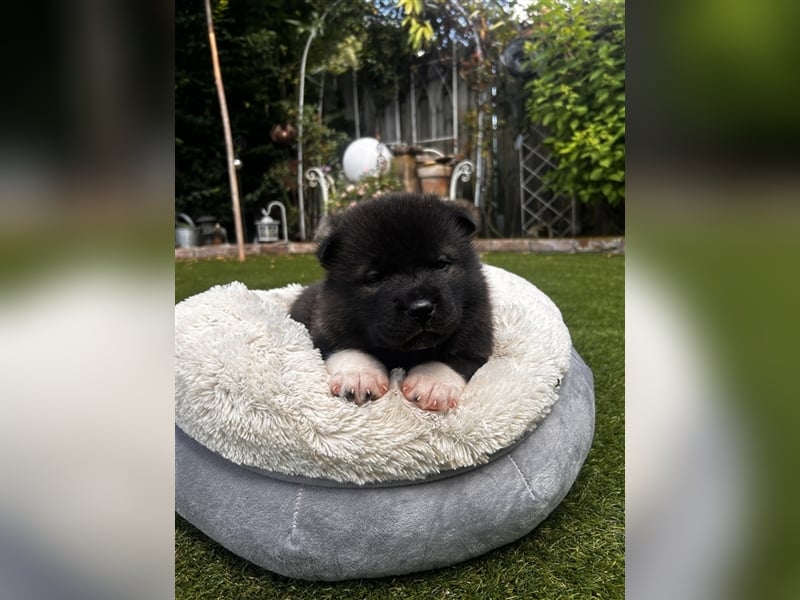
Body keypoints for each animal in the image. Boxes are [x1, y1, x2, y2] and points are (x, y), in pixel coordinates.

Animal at [290, 195, 490, 410]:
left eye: (441, 264)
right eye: (375, 278)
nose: (421, 309)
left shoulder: (476, 334)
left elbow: (455, 359)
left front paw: (432, 383)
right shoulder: (327, 326)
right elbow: (346, 348)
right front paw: (359, 376)